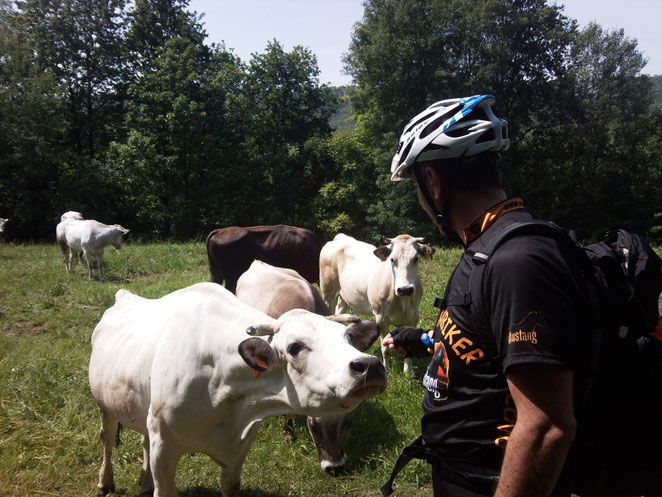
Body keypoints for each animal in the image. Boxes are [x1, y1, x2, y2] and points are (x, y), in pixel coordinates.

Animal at [320, 233, 436, 372]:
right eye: (392, 259)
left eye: (416, 258)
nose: (405, 289)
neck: (402, 300)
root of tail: (341, 237)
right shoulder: (381, 318)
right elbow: (385, 350)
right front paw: (386, 371)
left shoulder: (413, 316)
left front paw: (407, 372)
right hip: (328, 294)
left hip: (344, 299)